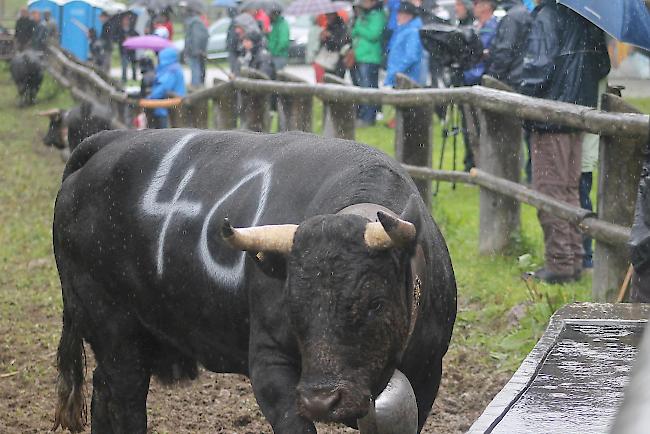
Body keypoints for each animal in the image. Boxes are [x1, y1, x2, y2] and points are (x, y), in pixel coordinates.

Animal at [52, 128, 456, 430]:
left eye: (375, 302)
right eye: (292, 303)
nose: (321, 400)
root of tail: (109, 141)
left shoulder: (427, 374)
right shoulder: (268, 364)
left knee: (105, 392)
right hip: (113, 328)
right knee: (125, 398)